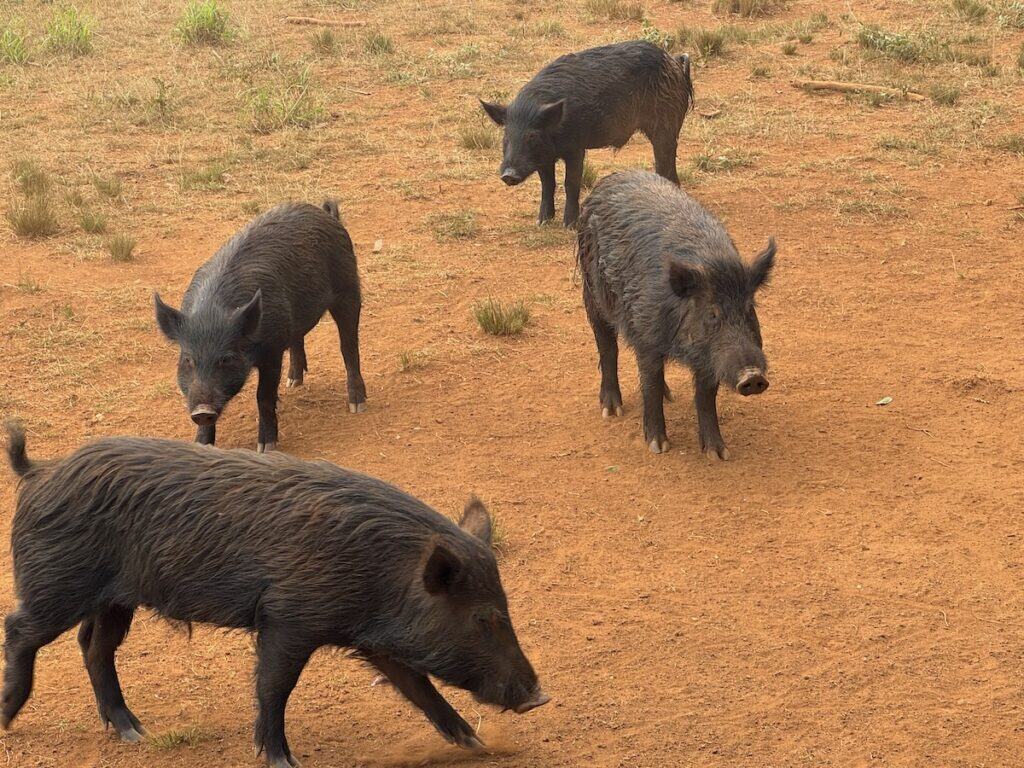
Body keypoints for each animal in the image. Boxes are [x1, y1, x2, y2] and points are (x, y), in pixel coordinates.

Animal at [1, 423, 549, 768]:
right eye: (483, 618)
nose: (539, 697)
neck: (382, 570)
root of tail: (40, 472)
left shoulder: (372, 639)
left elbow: (420, 688)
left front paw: (479, 745)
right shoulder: (288, 618)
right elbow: (274, 687)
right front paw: (285, 760)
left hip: (115, 599)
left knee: (94, 647)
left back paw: (136, 733)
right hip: (55, 584)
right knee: (20, 630)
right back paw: (9, 718)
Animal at [153, 200, 366, 452]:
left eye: (226, 358)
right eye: (187, 360)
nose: (202, 411)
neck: (212, 313)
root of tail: (327, 215)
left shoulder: (272, 350)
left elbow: (263, 396)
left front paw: (266, 447)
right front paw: (201, 445)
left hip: (349, 289)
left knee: (349, 345)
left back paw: (357, 405)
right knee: (298, 338)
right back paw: (293, 382)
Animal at [480, 40, 693, 227]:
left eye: (532, 136)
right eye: (506, 135)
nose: (508, 175)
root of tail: (674, 61)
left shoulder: (576, 147)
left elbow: (571, 182)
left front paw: (569, 225)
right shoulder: (544, 157)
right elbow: (547, 184)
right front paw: (542, 222)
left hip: (666, 125)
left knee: (666, 163)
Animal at [577, 170, 776, 458]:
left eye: (749, 308)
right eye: (712, 314)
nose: (753, 376)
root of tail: (613, 177)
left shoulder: (708, 356)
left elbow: (705, 396)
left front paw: (718, 454)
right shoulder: (647, 339)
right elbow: (650, 385)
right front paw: (658, 447)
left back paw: (668, 397)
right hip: (591, 293)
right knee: (607, 347)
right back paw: (612, 410)